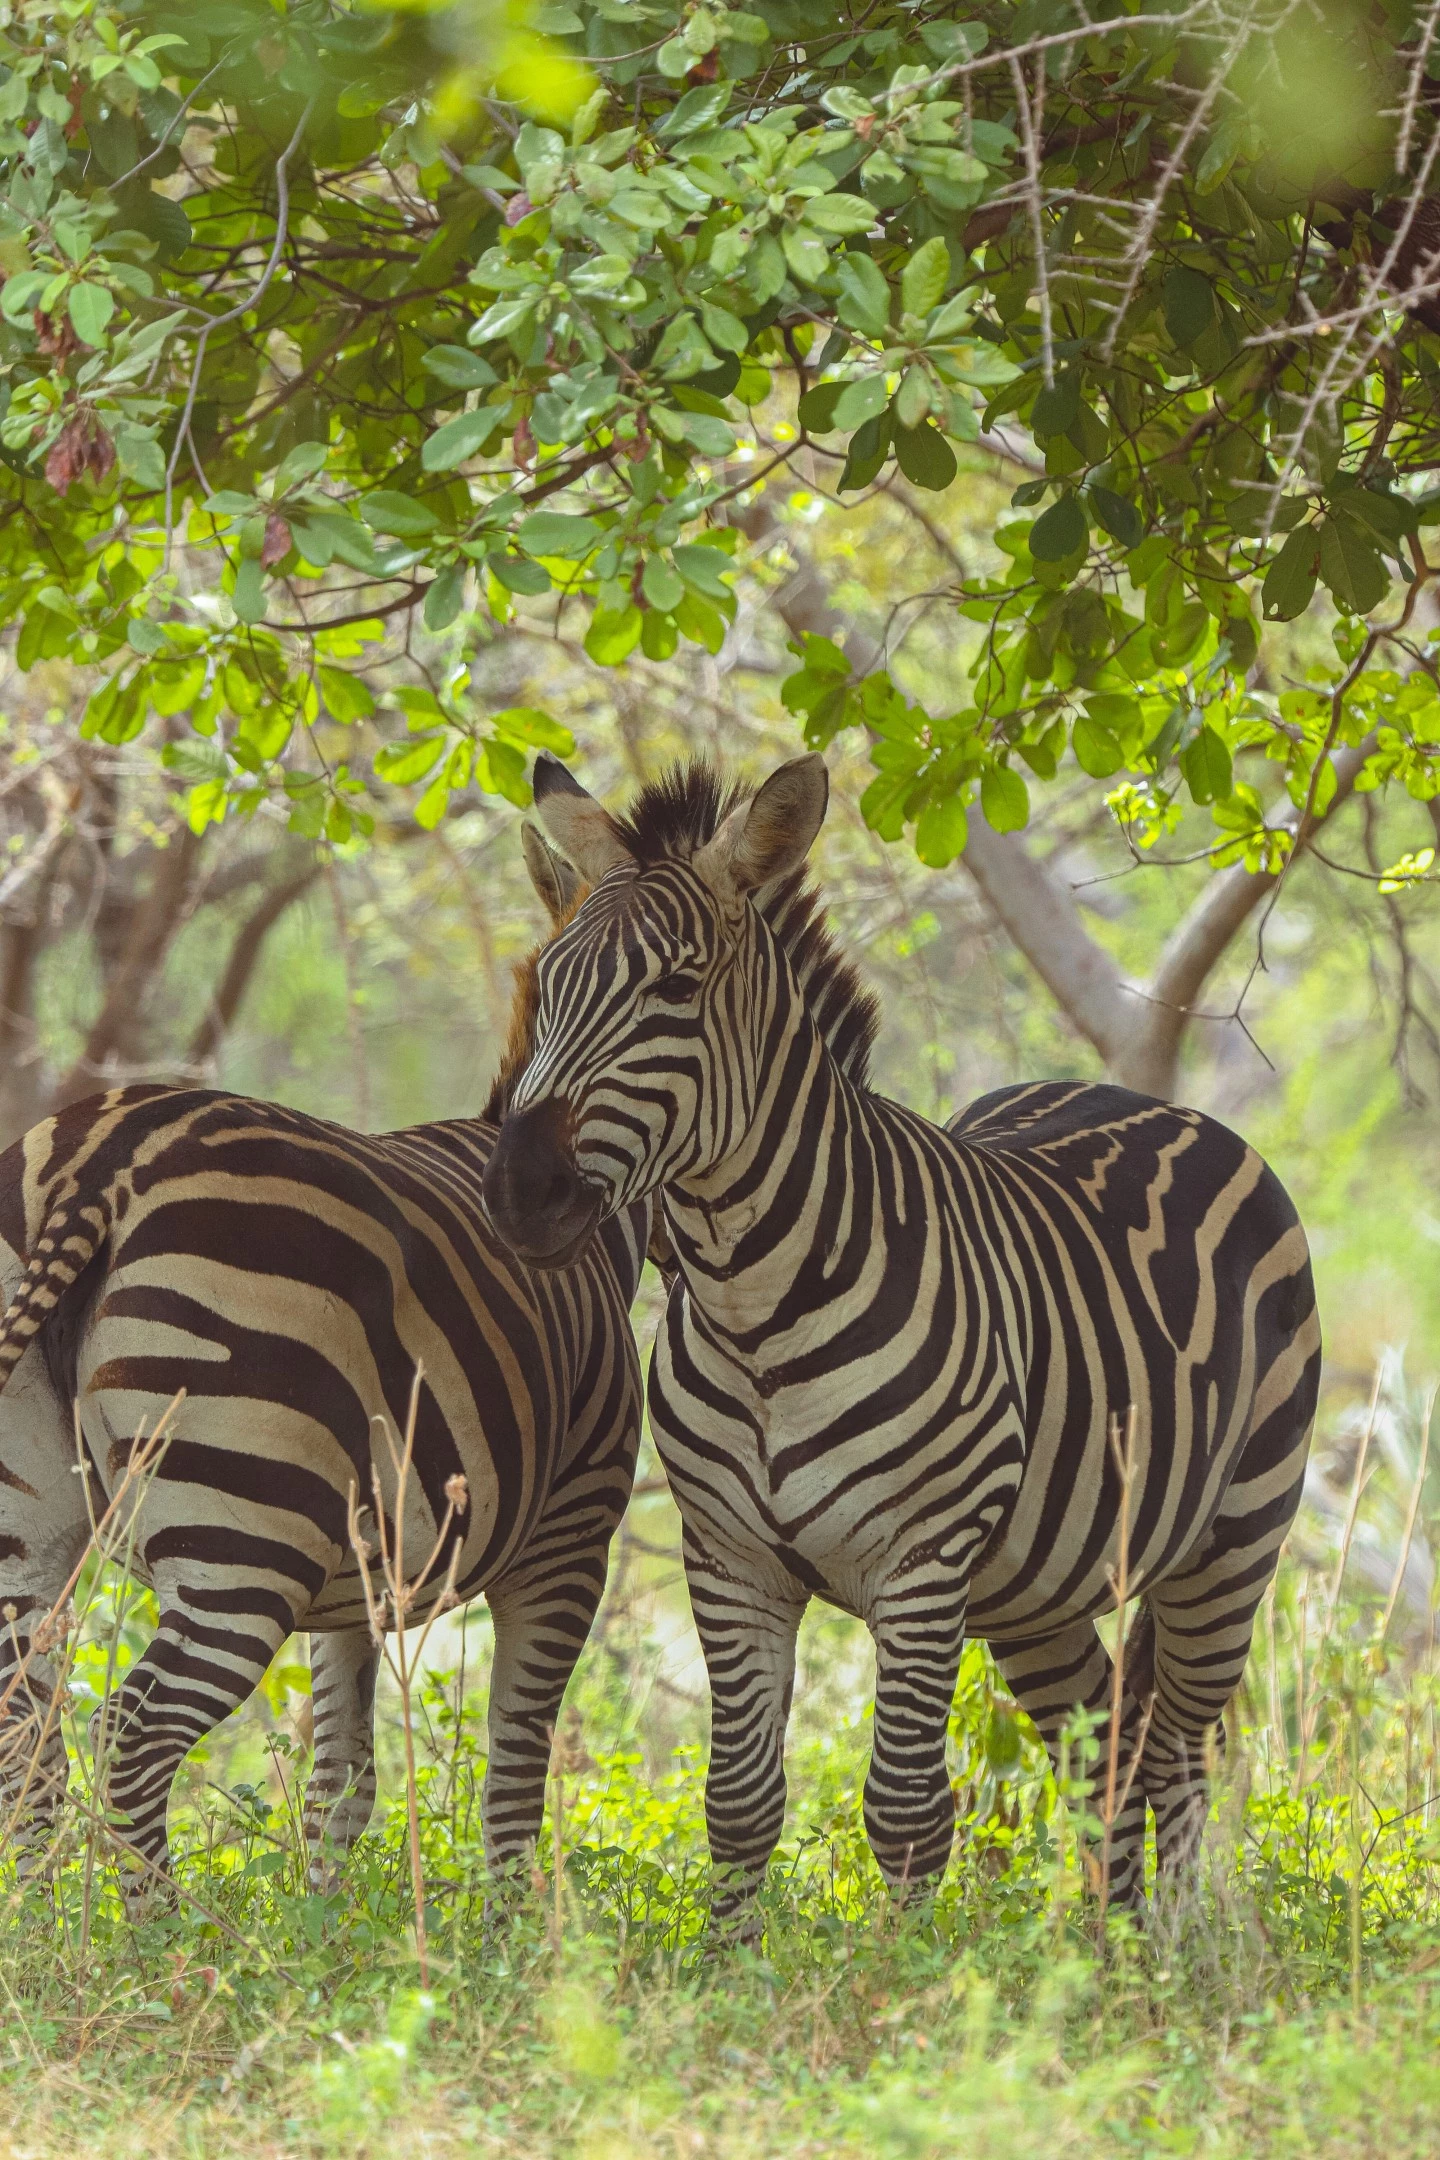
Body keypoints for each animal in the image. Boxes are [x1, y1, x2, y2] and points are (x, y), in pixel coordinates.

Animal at [0, 825, 643, 1909]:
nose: (535, 1220)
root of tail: (99, 1156)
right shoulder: (569, 1533)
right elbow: (517, 1754)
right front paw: (514, 1929)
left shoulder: (356, 1579)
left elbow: (343, 1774)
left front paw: (326, 1918)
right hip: (244, 1525)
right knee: (128, 1730)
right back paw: (168, 1936)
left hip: (37, 1524)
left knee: (26, 1735)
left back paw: (43, 1926)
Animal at [481, 751, 1321, 1935]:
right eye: (546, 988)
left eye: (675, 992)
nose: (519, 1195)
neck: (756, 1308)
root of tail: (1149, 1102)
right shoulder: (729, 1558)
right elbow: (738, 1801)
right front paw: (731, 1965)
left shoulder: (920, 1563)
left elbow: (909, 1811)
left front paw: (911, 1972)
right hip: (1038, 1588)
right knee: (1107, 1745)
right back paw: (1106, 1954)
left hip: (1235, 1538)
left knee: (1181, 1754)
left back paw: (1173, 1950)